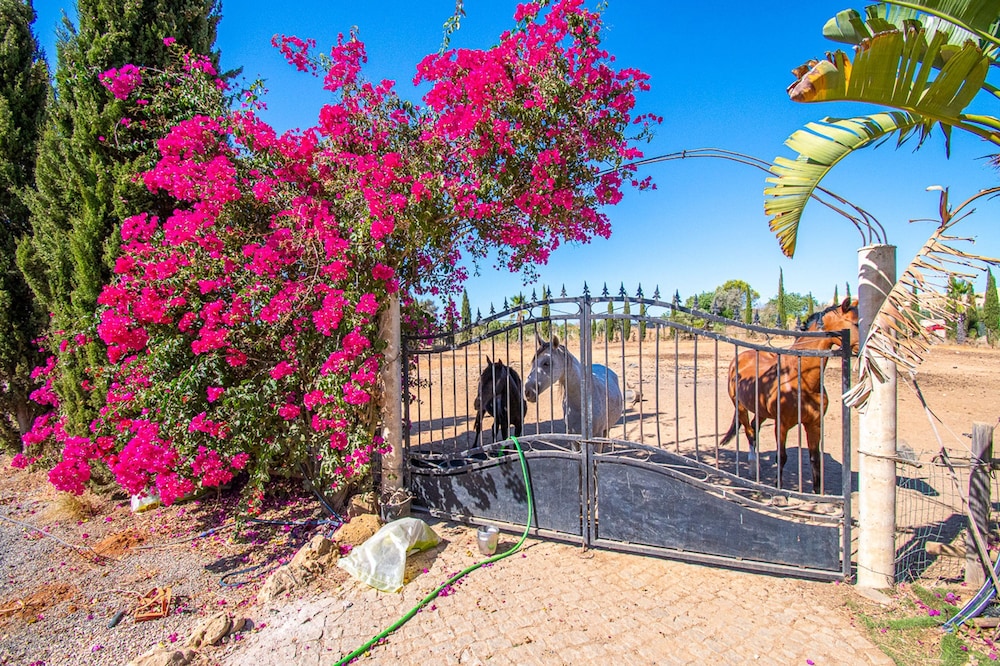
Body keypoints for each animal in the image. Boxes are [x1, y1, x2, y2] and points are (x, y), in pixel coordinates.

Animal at [720, 298, 859, 493]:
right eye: (855, 323)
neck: (801, 378)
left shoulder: (814, 424)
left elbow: (815, 459)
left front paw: (817, 492)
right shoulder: (782, 425)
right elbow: (782, 456)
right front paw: (778, 489)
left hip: (761, 410)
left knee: (754, 428)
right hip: (740, 406)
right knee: (749, 431)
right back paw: (754, 467)